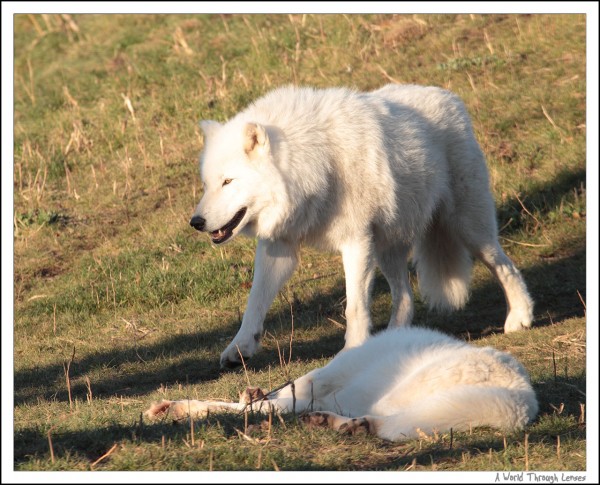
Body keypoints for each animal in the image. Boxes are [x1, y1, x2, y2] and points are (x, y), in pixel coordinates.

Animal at [145, 326, 540, 438]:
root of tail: (522, 396)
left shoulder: (310, 388)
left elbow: (247, 407)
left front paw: (172, 409)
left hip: (405, 397)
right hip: (435, 412)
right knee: (390, 427)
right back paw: (343, 425)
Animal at [190, 84, 532, 366]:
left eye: (228, 181)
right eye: (207, 185)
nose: (196, 222)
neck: (316, 162)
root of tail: (450, 96)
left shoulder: (356, 243)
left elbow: (354, 307)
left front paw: (352, 350)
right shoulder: (279, 247)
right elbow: (255, 302)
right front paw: (239, 348)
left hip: (470, 229)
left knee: (505, 266)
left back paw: (520, 317)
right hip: (388, 250)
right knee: (405, 297)